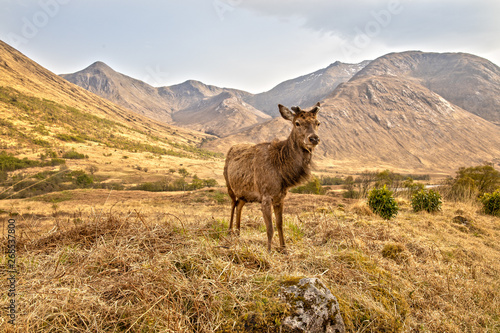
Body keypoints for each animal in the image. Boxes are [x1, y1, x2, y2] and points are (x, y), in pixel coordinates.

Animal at [223, 102, 320, 250]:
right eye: (297, 123)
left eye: (318, 123)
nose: (314, 138)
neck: (282, 172)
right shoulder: (266, 195)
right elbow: (270, 228)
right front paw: (269, 250)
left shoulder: (280, 197)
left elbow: (280, 224)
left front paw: (284, 248)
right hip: (229, 186)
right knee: (233, 204)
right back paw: (230, 232)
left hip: (245, 193)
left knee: (239, 205)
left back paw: (238, 233)